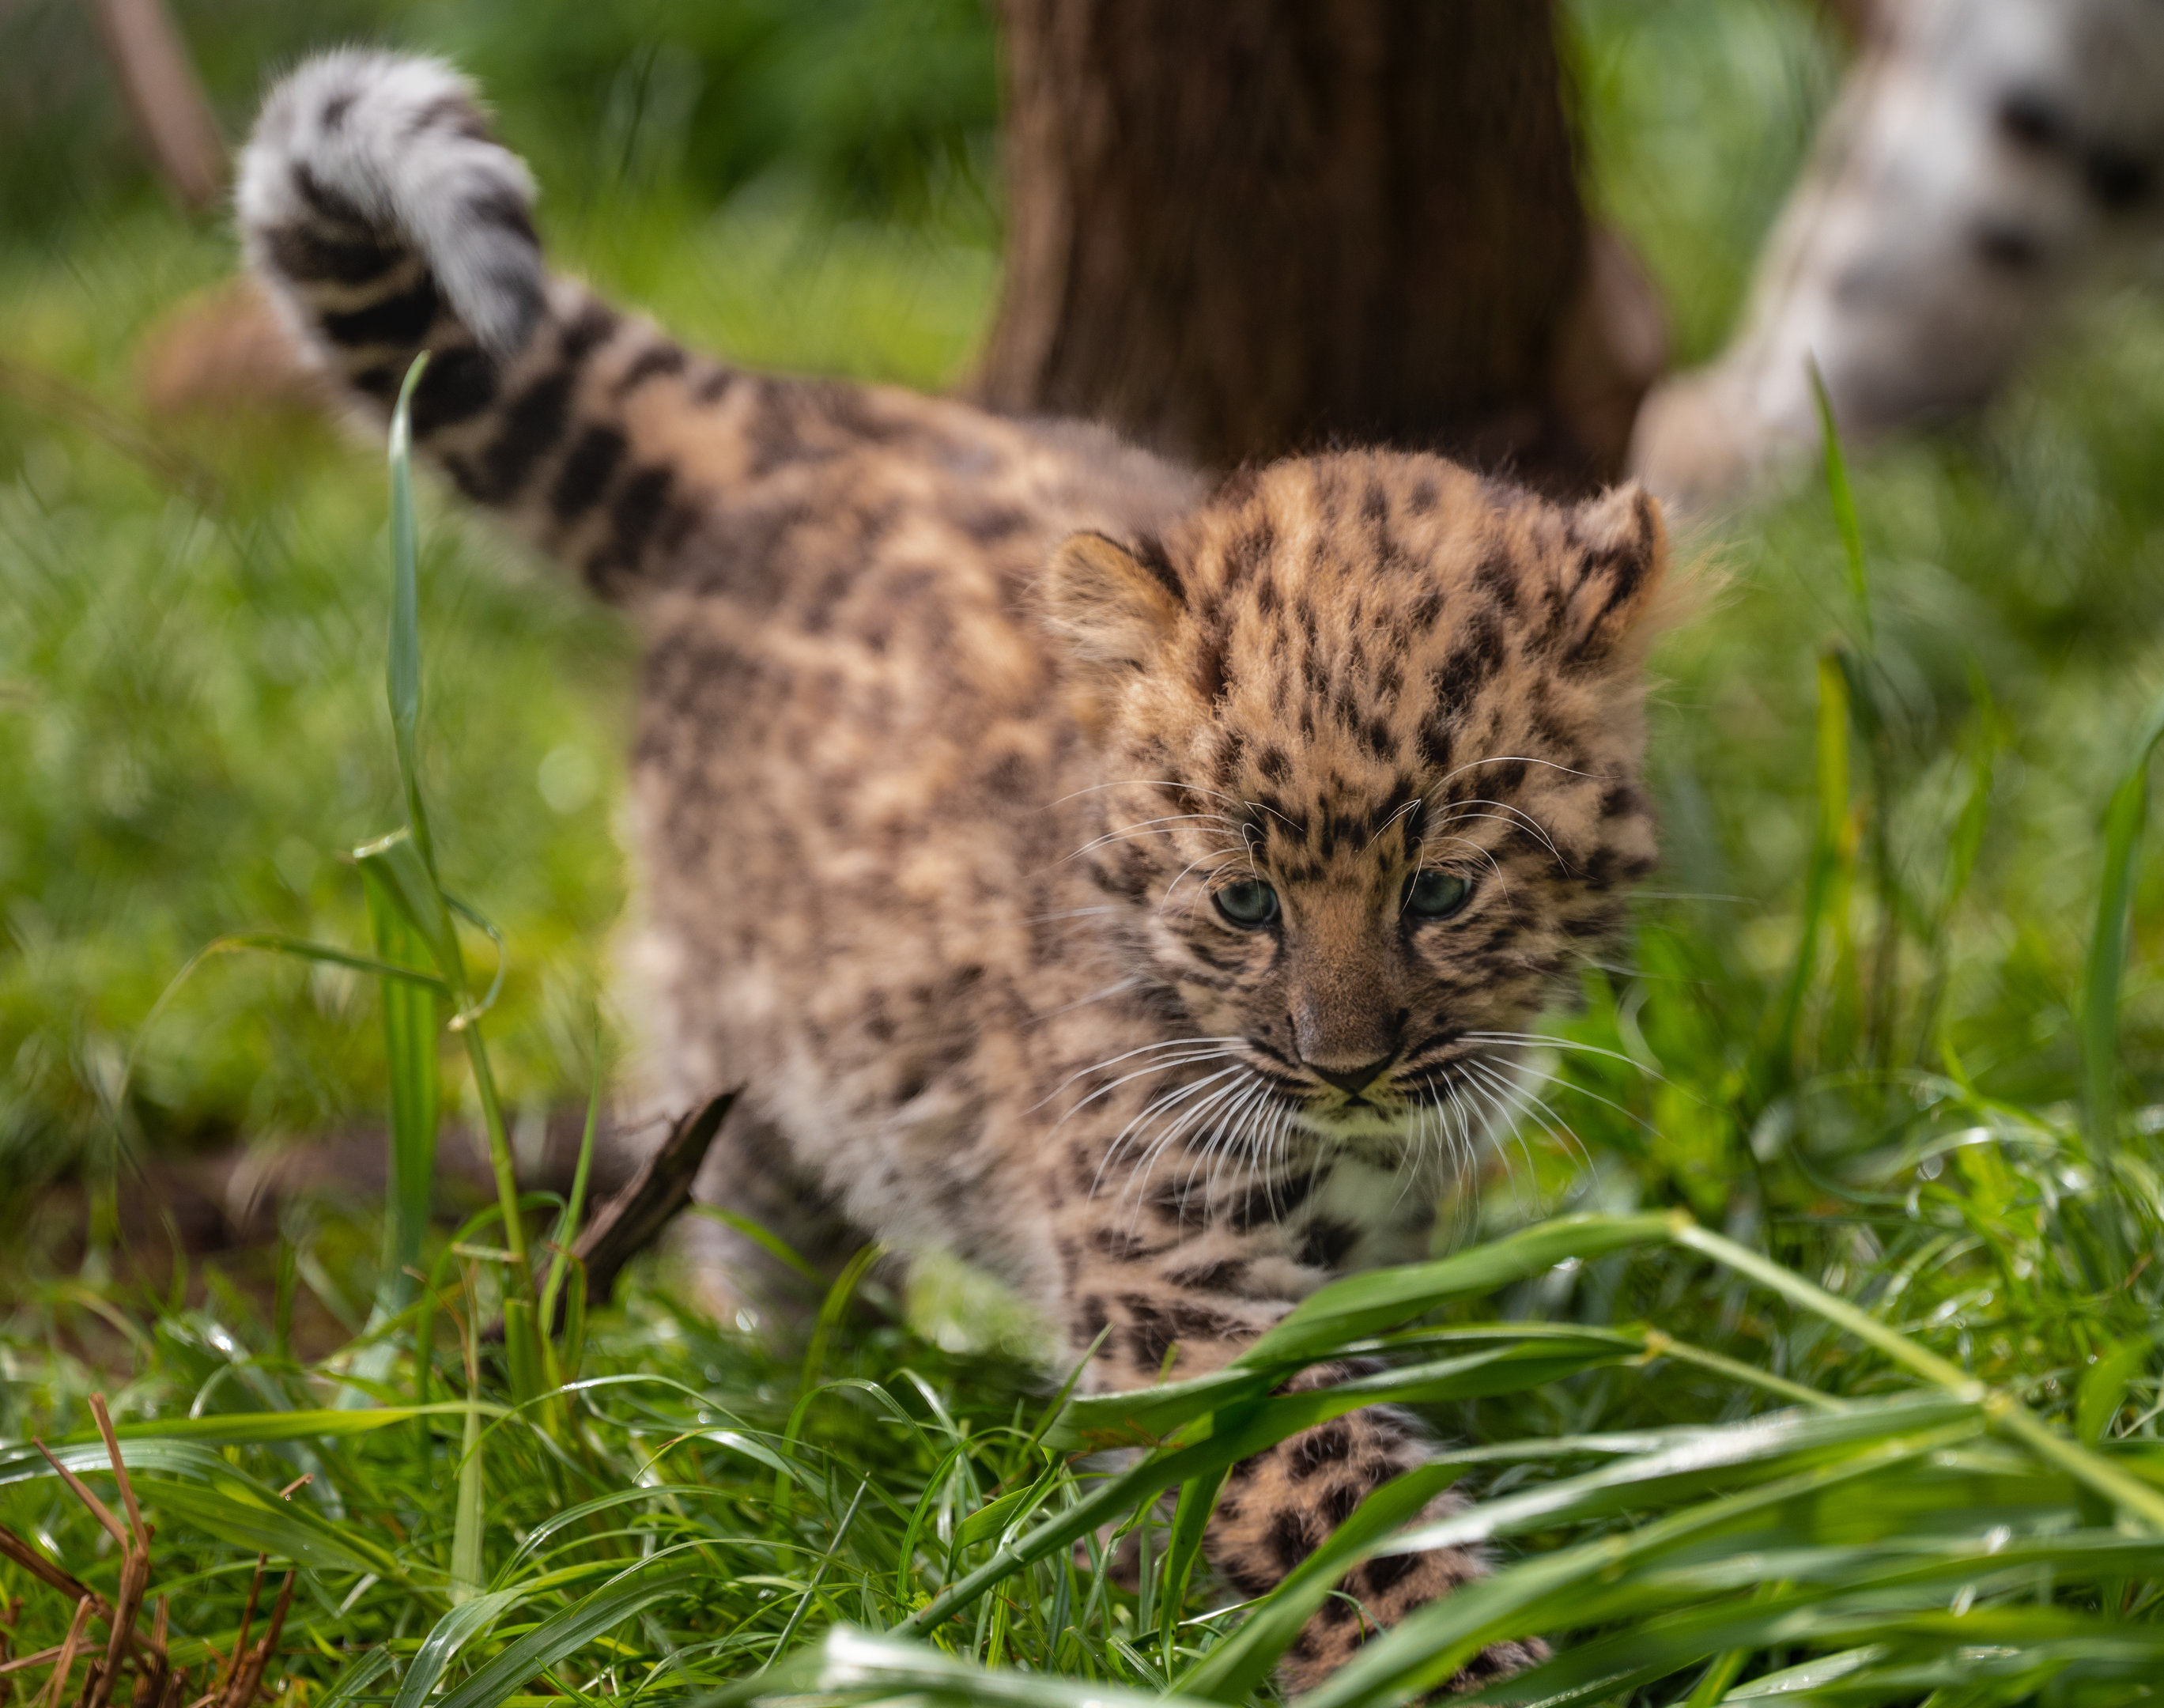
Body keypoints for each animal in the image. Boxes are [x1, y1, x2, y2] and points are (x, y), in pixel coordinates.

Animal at [239, 50, 1669, 1695]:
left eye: (1439, 892)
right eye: (1243, 902)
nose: (1346, 1067)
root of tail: (806, 430)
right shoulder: (1184, 1287)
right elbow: (1328, 1505)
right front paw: (1478, 1655)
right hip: (745, 1040)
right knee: (748, 1210)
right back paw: (796, 1390)